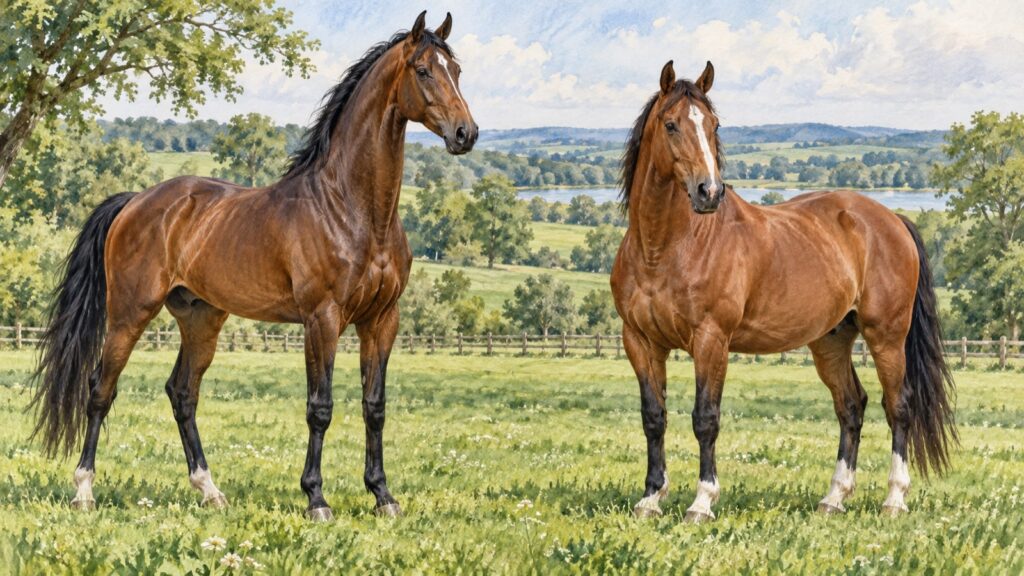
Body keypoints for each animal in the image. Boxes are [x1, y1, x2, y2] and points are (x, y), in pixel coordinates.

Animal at [29, 11, 477, 521]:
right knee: (100, 390)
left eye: (456, 70)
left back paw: (209, 490)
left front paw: (383, 496)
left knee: (182, 394)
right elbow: (320, 407)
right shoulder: (321, 320)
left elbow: (375, 406)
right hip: (130, 313)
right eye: (423, 71)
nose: (466, 133)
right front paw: (316, 499)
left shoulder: (382, 321)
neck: (352, 209)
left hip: (202, 319)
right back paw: (84, 490)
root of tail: (136, 201)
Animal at [610, 60, 956, 522]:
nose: (709, 192)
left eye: (714, 125)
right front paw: (651, 497)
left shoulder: (711, 341)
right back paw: (833, 498)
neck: (665, 248)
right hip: (831, 341)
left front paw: (702, 502)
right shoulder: (641, 342)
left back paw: (894, 499)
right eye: (671, 124)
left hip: (887, 337)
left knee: (898, 406)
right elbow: (654, 417)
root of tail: (890, 219)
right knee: (851, 407)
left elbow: (705, 418)